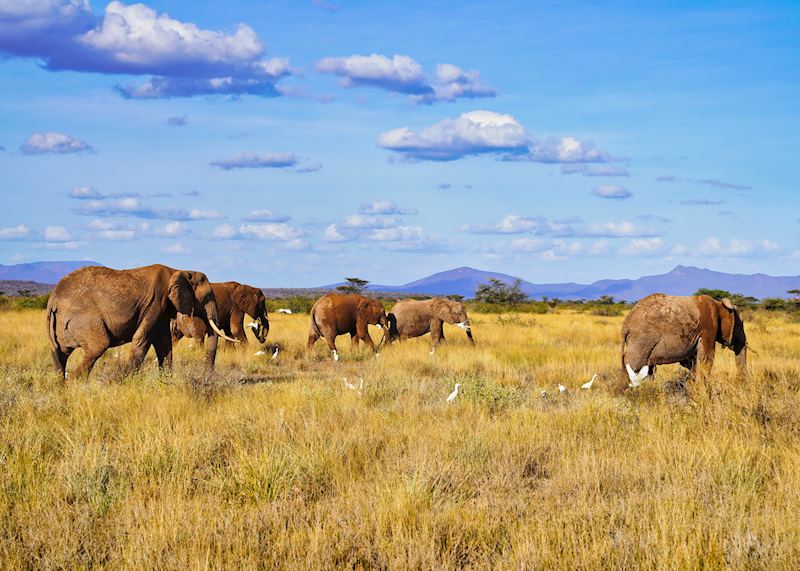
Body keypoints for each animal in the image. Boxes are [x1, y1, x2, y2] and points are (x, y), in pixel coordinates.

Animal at [46, 264, 238, 378]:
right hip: (83, 319)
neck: (178, 270)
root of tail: (53, 300)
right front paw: (125, 380)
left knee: (59, 354)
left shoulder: (162, 310)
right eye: (207, 297)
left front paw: (166, 380)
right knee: (98, 346)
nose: (207, 377)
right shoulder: (155, 302)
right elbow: (143, 338)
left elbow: (164, 343)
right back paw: (76, 381)